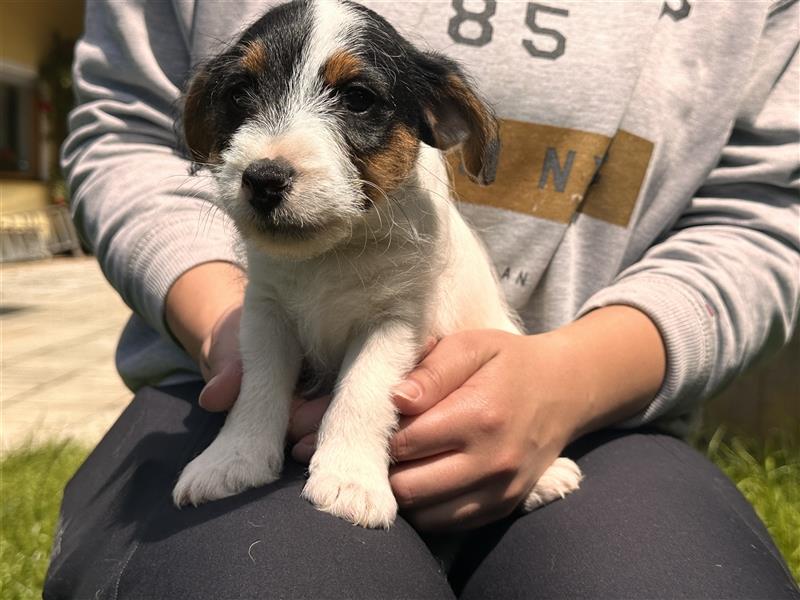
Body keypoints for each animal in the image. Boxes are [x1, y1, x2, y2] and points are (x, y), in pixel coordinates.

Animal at [173, 0, 580, 524]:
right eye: (240, 94)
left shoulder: (394, 322)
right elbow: (257, 386)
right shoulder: (266, 314)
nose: (263, 179)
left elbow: (361, 391)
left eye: (358, 99)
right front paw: (233, 458)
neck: (331, 253)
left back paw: (548, 474)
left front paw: (350, 480)